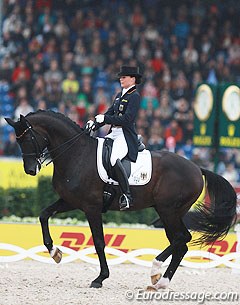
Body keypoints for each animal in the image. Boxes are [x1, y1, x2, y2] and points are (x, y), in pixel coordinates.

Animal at [4, 110, 237, 288]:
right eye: (17, 140)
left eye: (27, 138)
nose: (30, 170)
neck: (76, 154)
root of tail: (197, 168)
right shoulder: (70, 201)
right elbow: (43, 215)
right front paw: (55, 252)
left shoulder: (91, 207)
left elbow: (99, 242)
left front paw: (100, 278)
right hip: (168, 212)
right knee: (181, 243)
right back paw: (160, 281)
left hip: (169, 210)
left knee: (182, 239)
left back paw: (155, 270)